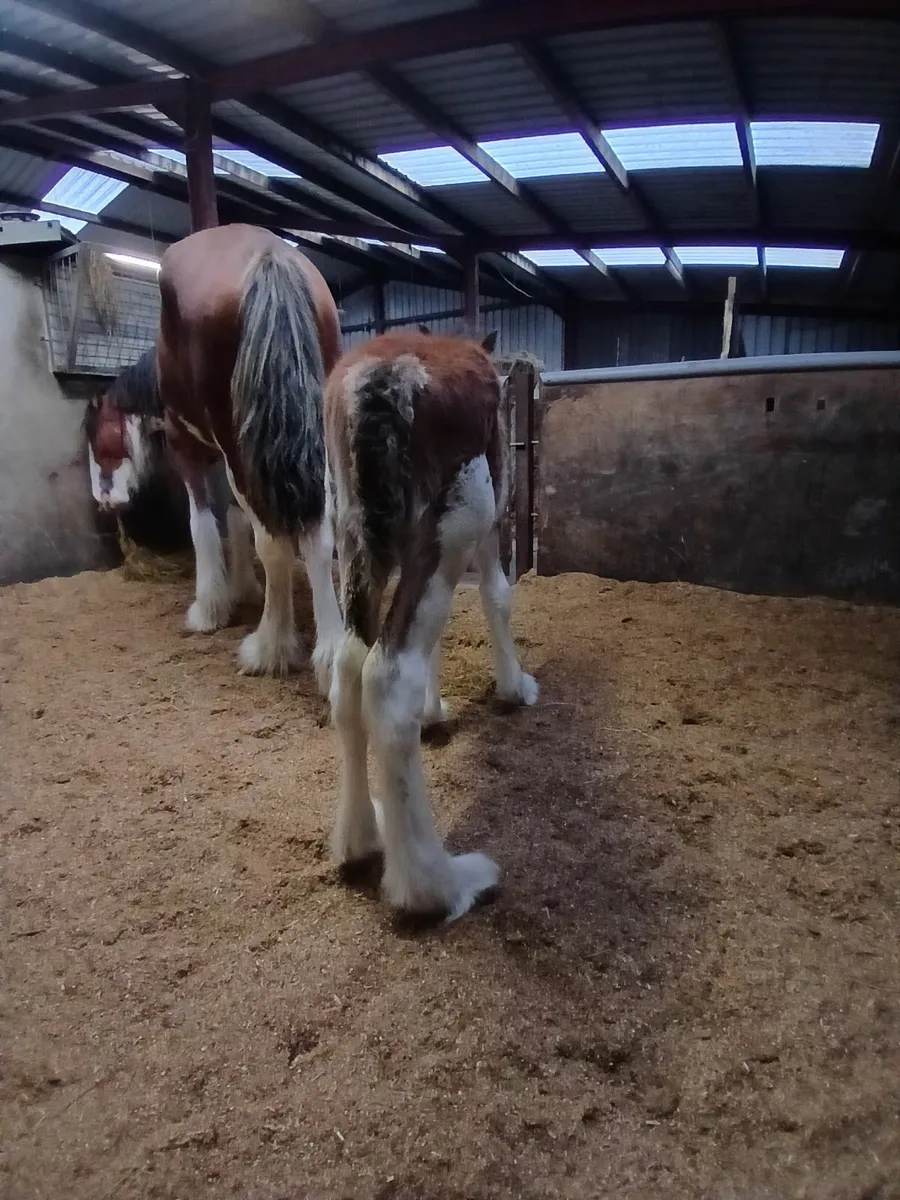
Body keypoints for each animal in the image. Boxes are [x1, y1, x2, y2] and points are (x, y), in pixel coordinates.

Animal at [85, 224, 344, 688]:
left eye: (97, 440)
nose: (104, 500)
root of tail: (269, 256)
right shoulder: (230, 459)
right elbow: (237, 520)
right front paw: (243, 588)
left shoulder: (188, 448)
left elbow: (203, 524)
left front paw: (209, 608)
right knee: (317, 532)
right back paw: (333, 652)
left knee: (276, 541)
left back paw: (271, 647)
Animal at [324, 328, 539, 920]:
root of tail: (381, 379)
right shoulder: (490, 527)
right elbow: (497, 596)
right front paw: (516, 688)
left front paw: (434, 711)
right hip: (451, 530)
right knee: (387, 678)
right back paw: (437, 885)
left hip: (354, 540)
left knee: (349, 671)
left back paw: (360, 840)